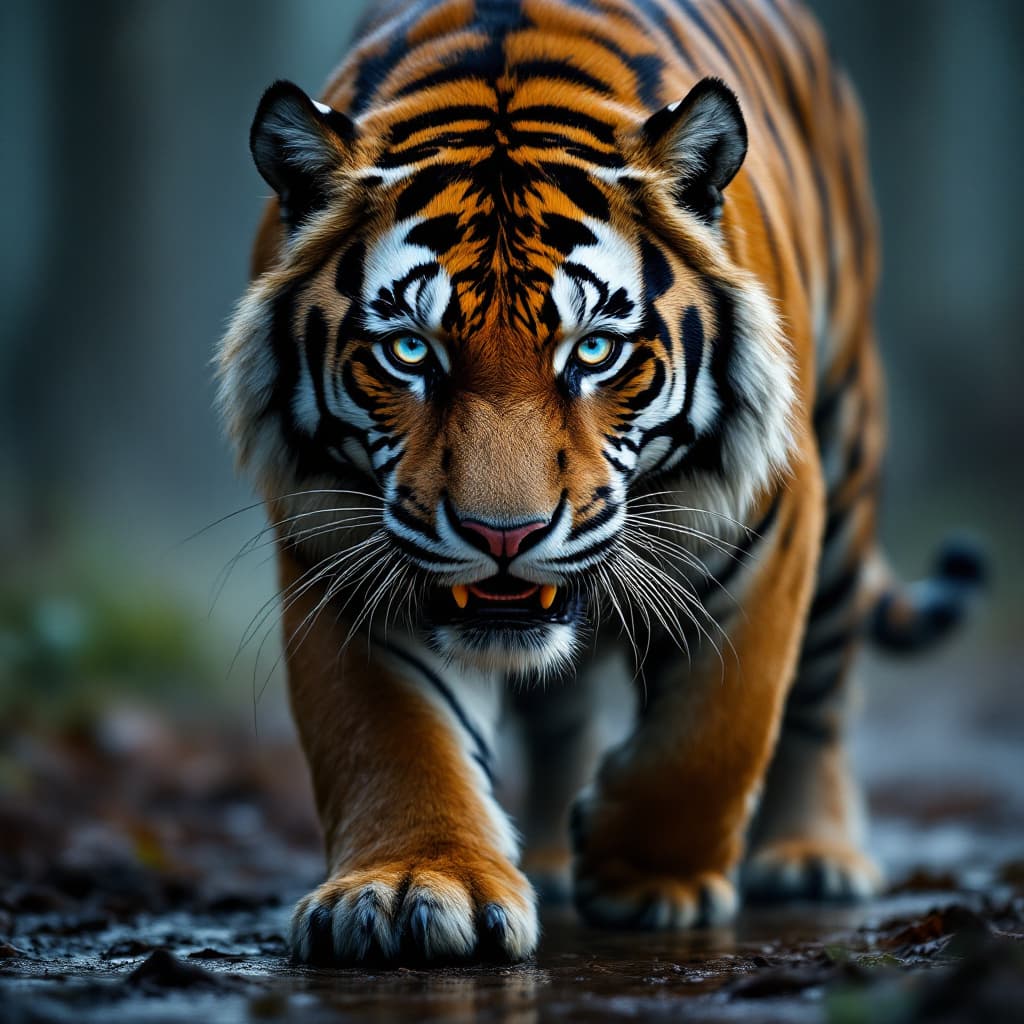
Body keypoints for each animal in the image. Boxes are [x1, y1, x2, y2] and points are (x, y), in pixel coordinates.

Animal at [217, 0, 984, 963]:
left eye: (592, 352)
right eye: (410, 352)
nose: (502, 535)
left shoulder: (772, 510)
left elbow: (718, 726)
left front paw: (646, 879)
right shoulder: (337, 542)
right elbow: (387, 733)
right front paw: (409, 887)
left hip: (848, 453)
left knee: (821, 687)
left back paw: (812, 856)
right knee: (560, 705)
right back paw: (545, 856)